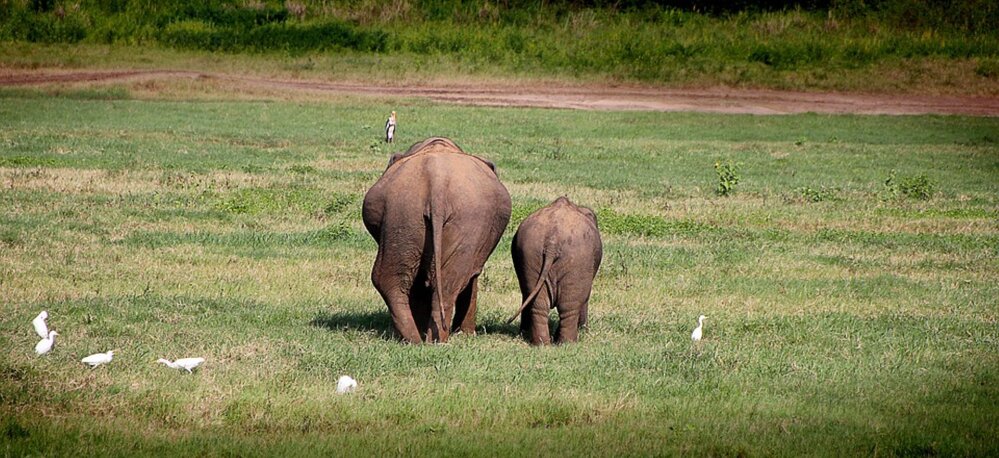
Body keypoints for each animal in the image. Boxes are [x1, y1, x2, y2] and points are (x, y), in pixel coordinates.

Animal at [362, 137, 516, 344]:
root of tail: (437, 182)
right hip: (440, 216)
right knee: (448, 280)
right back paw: (430, 339)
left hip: (405, 213)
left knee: (395, 278)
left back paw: (418, 339)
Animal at [508, 196, 600, 344]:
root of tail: (552, 240)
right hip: (578, 259)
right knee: (569, 306)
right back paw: (568, 343)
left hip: (530, 254)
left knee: (538, 304)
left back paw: (542, 344)